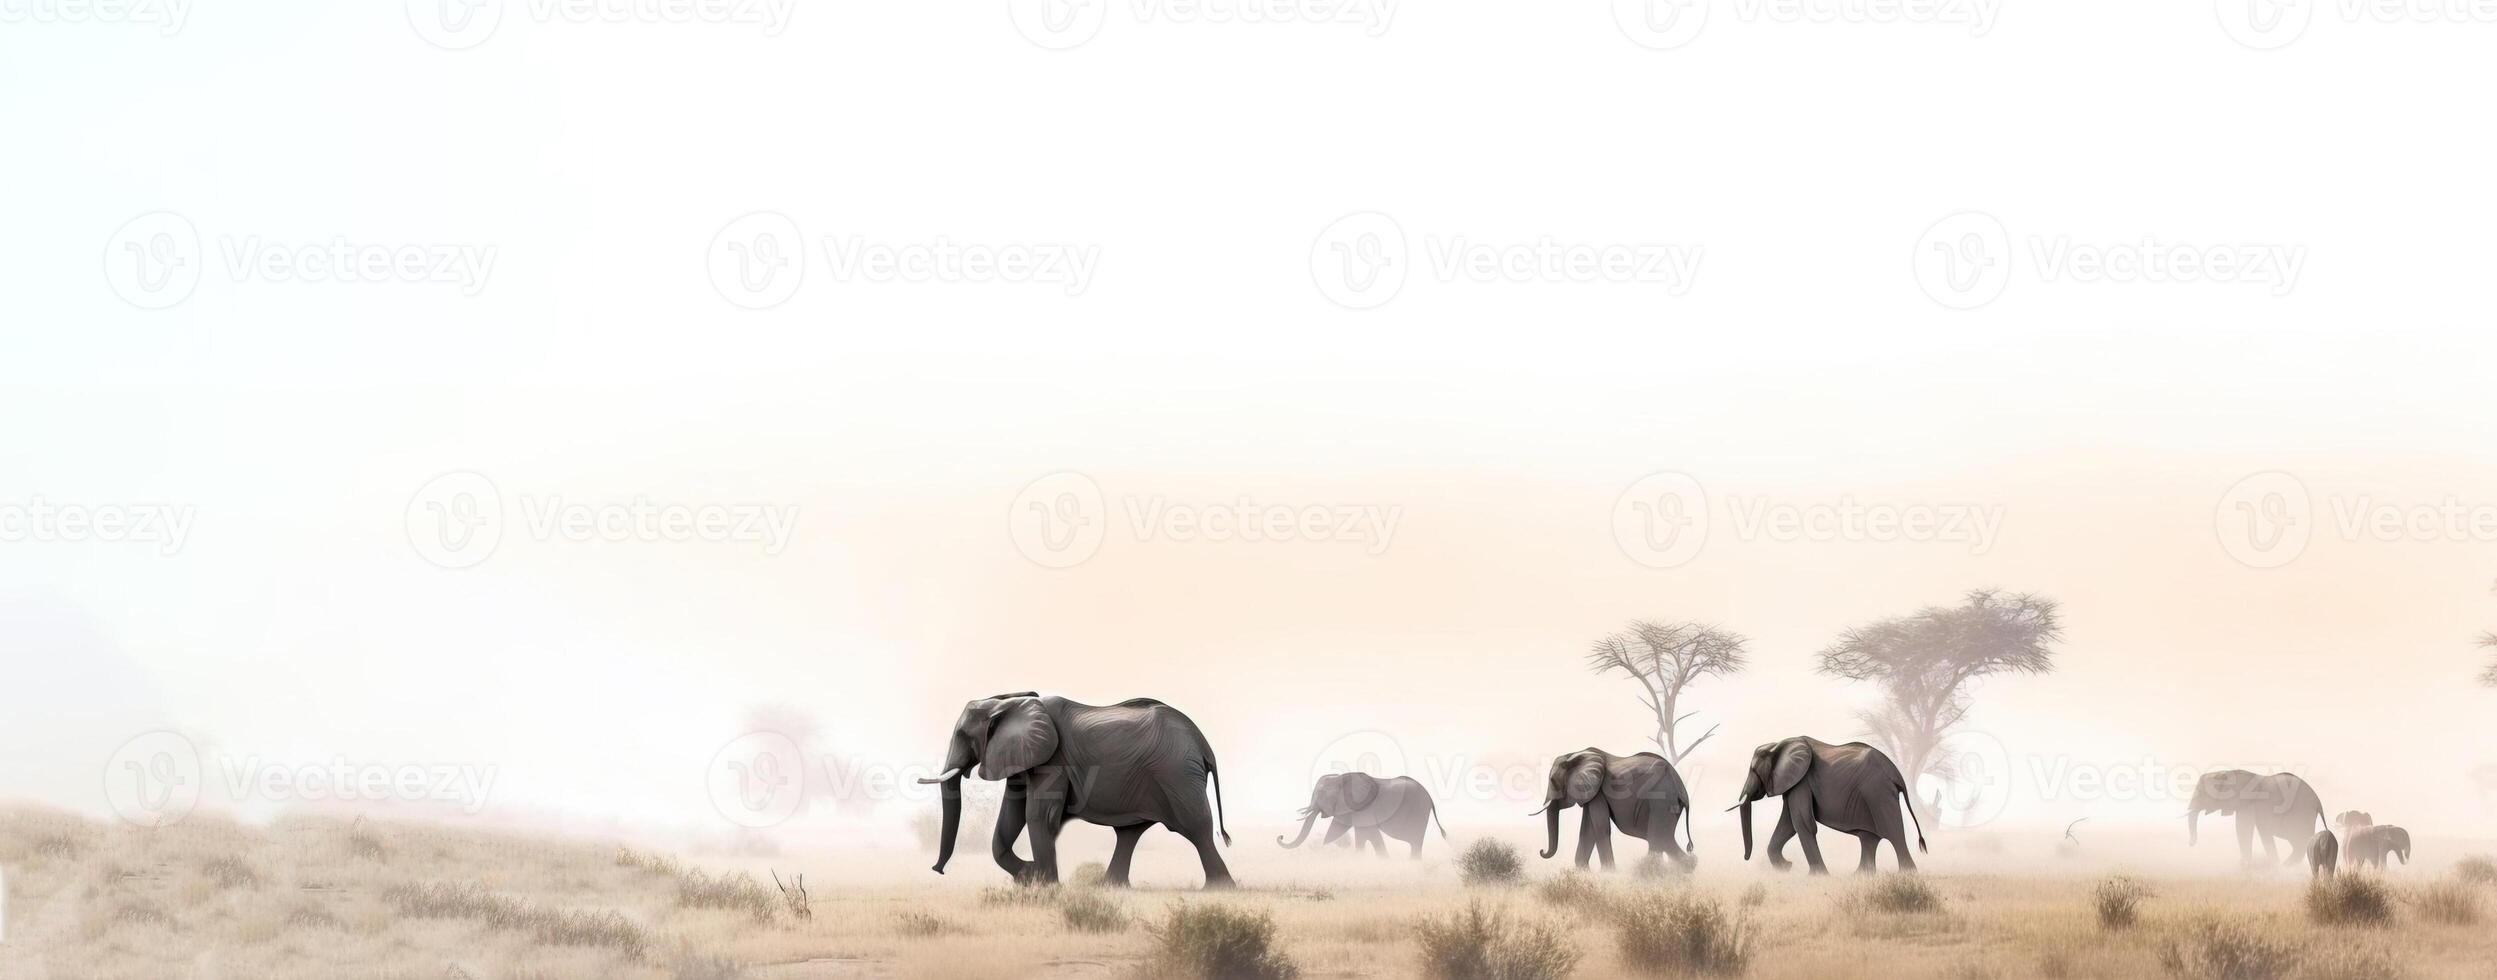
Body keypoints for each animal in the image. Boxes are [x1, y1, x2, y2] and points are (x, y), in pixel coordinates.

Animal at [923, 695, 1233, 890]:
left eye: (963, 735)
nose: (937, 870)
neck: (1008, 703)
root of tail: (1203, 744)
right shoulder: (1024, 758)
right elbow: (1011, 817)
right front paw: (1029, 876)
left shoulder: (1053, 760)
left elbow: (1039, 816)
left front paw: (1045, 886)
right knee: (1130, 833)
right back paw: (1111, 888)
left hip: (1177, 775)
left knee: (1196, 827)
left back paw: (1220, 889)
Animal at [1288, 775, 1448, 860]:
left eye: (1320, 794)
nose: (1282, 836)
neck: (1341, 777)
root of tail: (1429, 796)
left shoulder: (1364, 810)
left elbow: (1370, 835)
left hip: (1419, 810)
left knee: (1415, 841)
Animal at [1518, 745, 1697, 875]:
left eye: (1552, 781)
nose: (1541, 851)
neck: (1575, 754)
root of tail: (1683, 791)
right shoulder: (1593, 794)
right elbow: (1587, 830)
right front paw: (1584, 873)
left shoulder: (1599, 793)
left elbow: (1600, 828)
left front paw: (1608, 874)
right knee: (1665, 839)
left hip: (1661, 800)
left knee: (1658, 838)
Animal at [1737, 735, 1927, 875]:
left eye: (1753, 771)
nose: (1745, 858)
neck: (1778, 744)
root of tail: (1896, 774)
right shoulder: (1794, 784)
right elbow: (1788, 824)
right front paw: (1786, 868)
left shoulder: (1802, 781)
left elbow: (1803, 823)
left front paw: (1818, 877)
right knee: (1869, 837)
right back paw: (1859, 877)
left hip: (1878, 792)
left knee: (1894, 833)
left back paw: (1907, 876)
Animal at [2187, 770, 2317, 870]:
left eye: (2202, 793)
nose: (2191, 844)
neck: (2227, 772)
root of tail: (2317, 801)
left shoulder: (2247, 803)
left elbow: (2243, 828)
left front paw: (2245, 867)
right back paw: (2286, 866)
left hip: (2302, 813)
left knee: (2299, 840)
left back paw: (2285, 866)